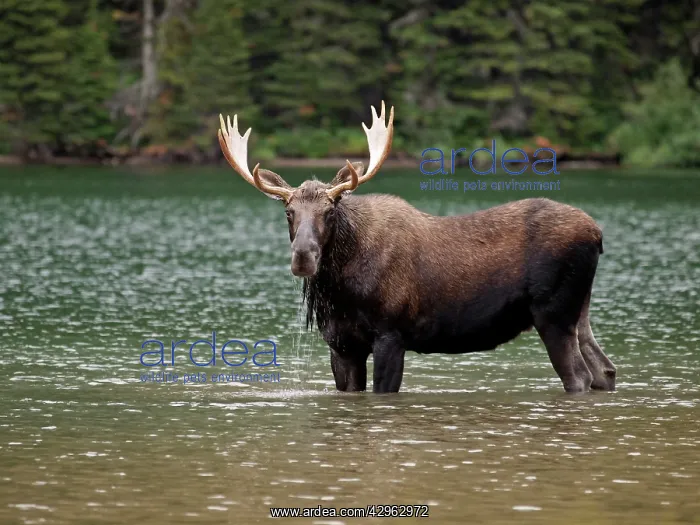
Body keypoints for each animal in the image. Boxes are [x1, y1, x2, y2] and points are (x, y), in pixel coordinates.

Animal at [217, 102, 617, 394]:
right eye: (288, 212)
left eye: (330, 211)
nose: (303, 257)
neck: (341, 290)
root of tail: (597, 233)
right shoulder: (341, 346)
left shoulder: (392, 335)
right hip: (578, 310)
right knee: (605, 369)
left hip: (553, 312)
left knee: (579, 376)